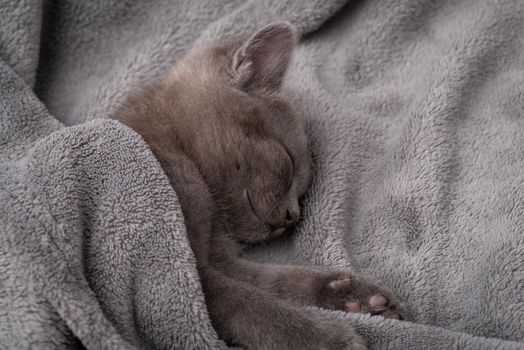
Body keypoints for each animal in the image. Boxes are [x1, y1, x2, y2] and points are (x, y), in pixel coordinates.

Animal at [115, 23, 410, 348]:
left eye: (302, 192)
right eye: (289, 162)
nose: (292, 216)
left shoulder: (213, 259)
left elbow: (279, 279)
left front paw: (356, 296)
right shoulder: (178, 272)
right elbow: (248, 303)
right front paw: (326, 338)